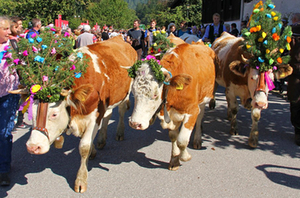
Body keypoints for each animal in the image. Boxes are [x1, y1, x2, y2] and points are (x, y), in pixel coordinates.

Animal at [19, 35, 137, 192]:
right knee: (108, 116)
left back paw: (119, 133)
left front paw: (81, 180)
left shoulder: (94, 117)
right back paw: (101, 139)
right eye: (31, 112)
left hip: (126, 93)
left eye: (54, 114)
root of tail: (118, 37)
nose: (33, 147)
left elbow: (84, 147)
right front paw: (93, 150)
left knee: (121, 111)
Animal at [128, 41, 216, 170]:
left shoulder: (192, 110)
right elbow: (174, 136)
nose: (135, 124)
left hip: (204, 99)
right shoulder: (171, 116)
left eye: (155, 95)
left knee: (200, 117)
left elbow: (182, 140)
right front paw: (174, 160)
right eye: (133, 92)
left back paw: (197, 140)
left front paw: (185, 157)